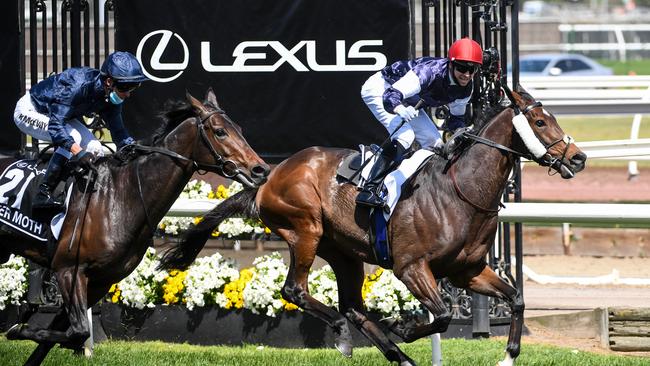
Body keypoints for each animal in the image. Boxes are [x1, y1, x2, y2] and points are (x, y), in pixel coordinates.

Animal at [0, 89, 268, 366]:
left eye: (238, 128)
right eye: (220, 131)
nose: (261, 169)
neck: (119, 196)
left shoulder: (101, 280)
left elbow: (64, 334)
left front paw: (24, 328)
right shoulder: (68, 270)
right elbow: (78, 331)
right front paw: (17, 328)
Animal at [159, 84, 584, 364]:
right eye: (540, 121)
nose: (578, 158)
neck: (461, 192)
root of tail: (270, 175)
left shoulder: (468, 270)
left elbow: (516, 298)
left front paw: (509, 354)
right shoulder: (411, 267)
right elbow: (444, 313)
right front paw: (403, 325)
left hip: (343, 251)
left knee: (353, 306)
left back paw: (399, 356)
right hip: (305, 229)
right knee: (296, 291)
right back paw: (349, 337)